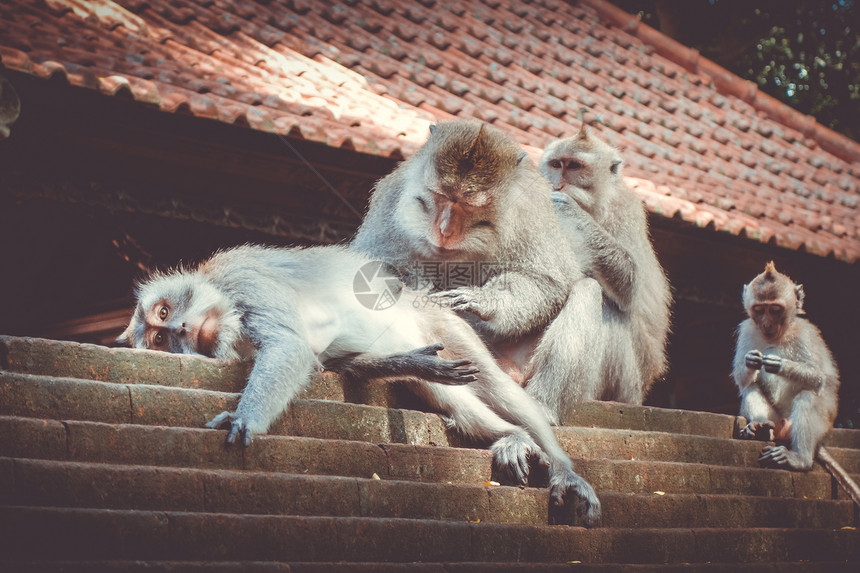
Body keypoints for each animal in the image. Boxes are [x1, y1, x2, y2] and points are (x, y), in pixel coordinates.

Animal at [119, 244, 604, 524]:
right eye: (161, 339)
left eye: (163, 314)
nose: (180, 329)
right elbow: (330, 361)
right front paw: (406, 364)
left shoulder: (243, 278)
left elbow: (289, 345)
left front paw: (245, 418)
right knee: (445, 393)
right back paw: (511, 436)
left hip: (440, 321)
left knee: (498, 387)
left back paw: (559, 464)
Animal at [544, 126, 672, 402]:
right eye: (556, 164)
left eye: (574, 166)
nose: (557, 184)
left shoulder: (625, 210)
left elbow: (631, 285)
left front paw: (569, 208)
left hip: (632, 382)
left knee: (612, 308)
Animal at [732, 262, 840, 472]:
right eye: (759, 310)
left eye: (774, 309)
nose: (766, 324)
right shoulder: (747, 329)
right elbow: (742, 380)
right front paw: (751, 361)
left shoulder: (803, 334)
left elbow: (818, 378)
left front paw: (779, 364)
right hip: (776, 420)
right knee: (751, 386)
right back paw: (759, 426)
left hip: (820, 425)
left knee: (808, 397)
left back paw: (800, 459)